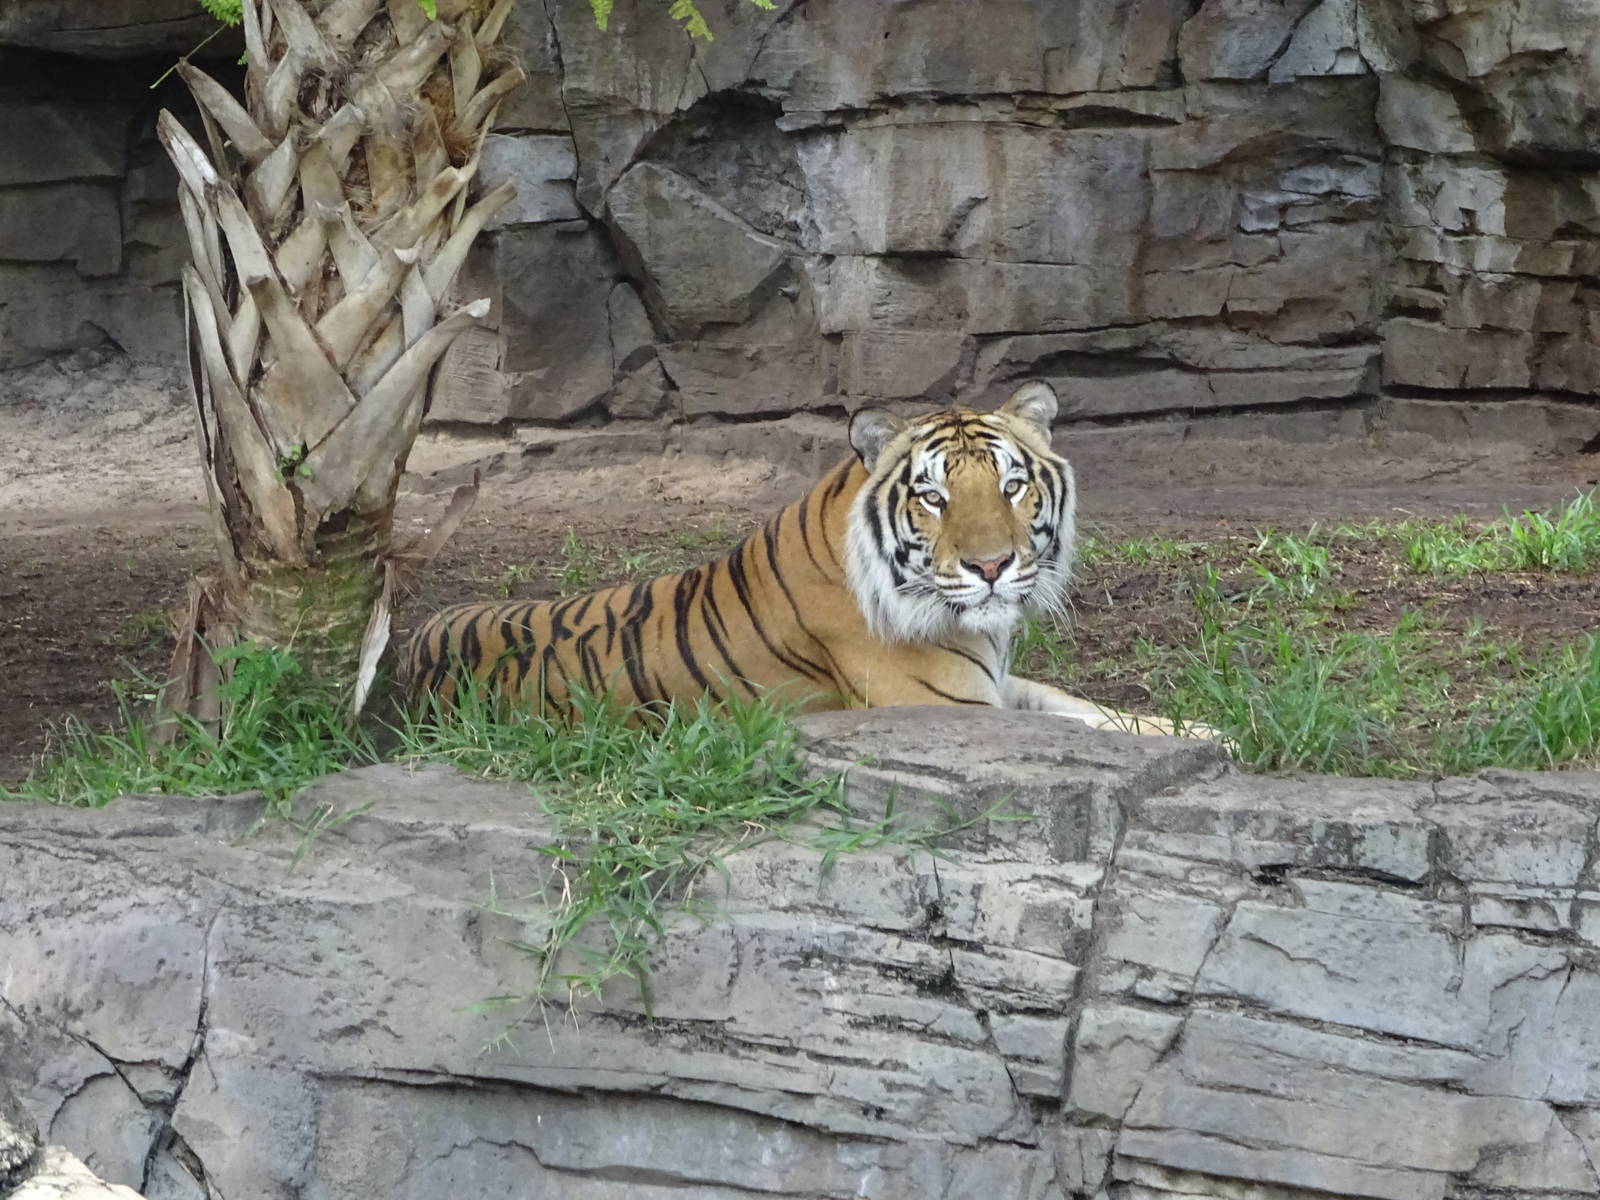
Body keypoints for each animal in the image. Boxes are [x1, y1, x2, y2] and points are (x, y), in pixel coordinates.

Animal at [406, 380, 1206, 738]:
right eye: (934, 498)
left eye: (1012, 486)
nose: (991, 568)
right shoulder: (947, 707)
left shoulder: (1005, 687)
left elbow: (1104, 715)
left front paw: (1211, 736)